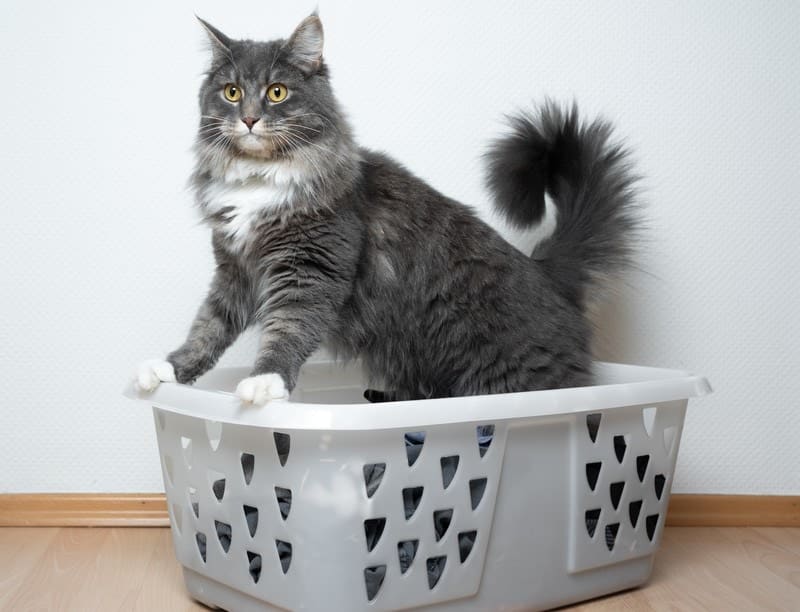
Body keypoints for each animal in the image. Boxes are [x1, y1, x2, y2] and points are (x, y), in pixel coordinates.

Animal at [136, 14, 636, 404]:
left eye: (277, 92)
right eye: (232, 92)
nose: (249, 119)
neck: (261, 179)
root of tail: (548, 275)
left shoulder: (310, 270)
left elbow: (288, 329)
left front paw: (265, 383)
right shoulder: (235, 270)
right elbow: (208, 327)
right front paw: (167, 370)